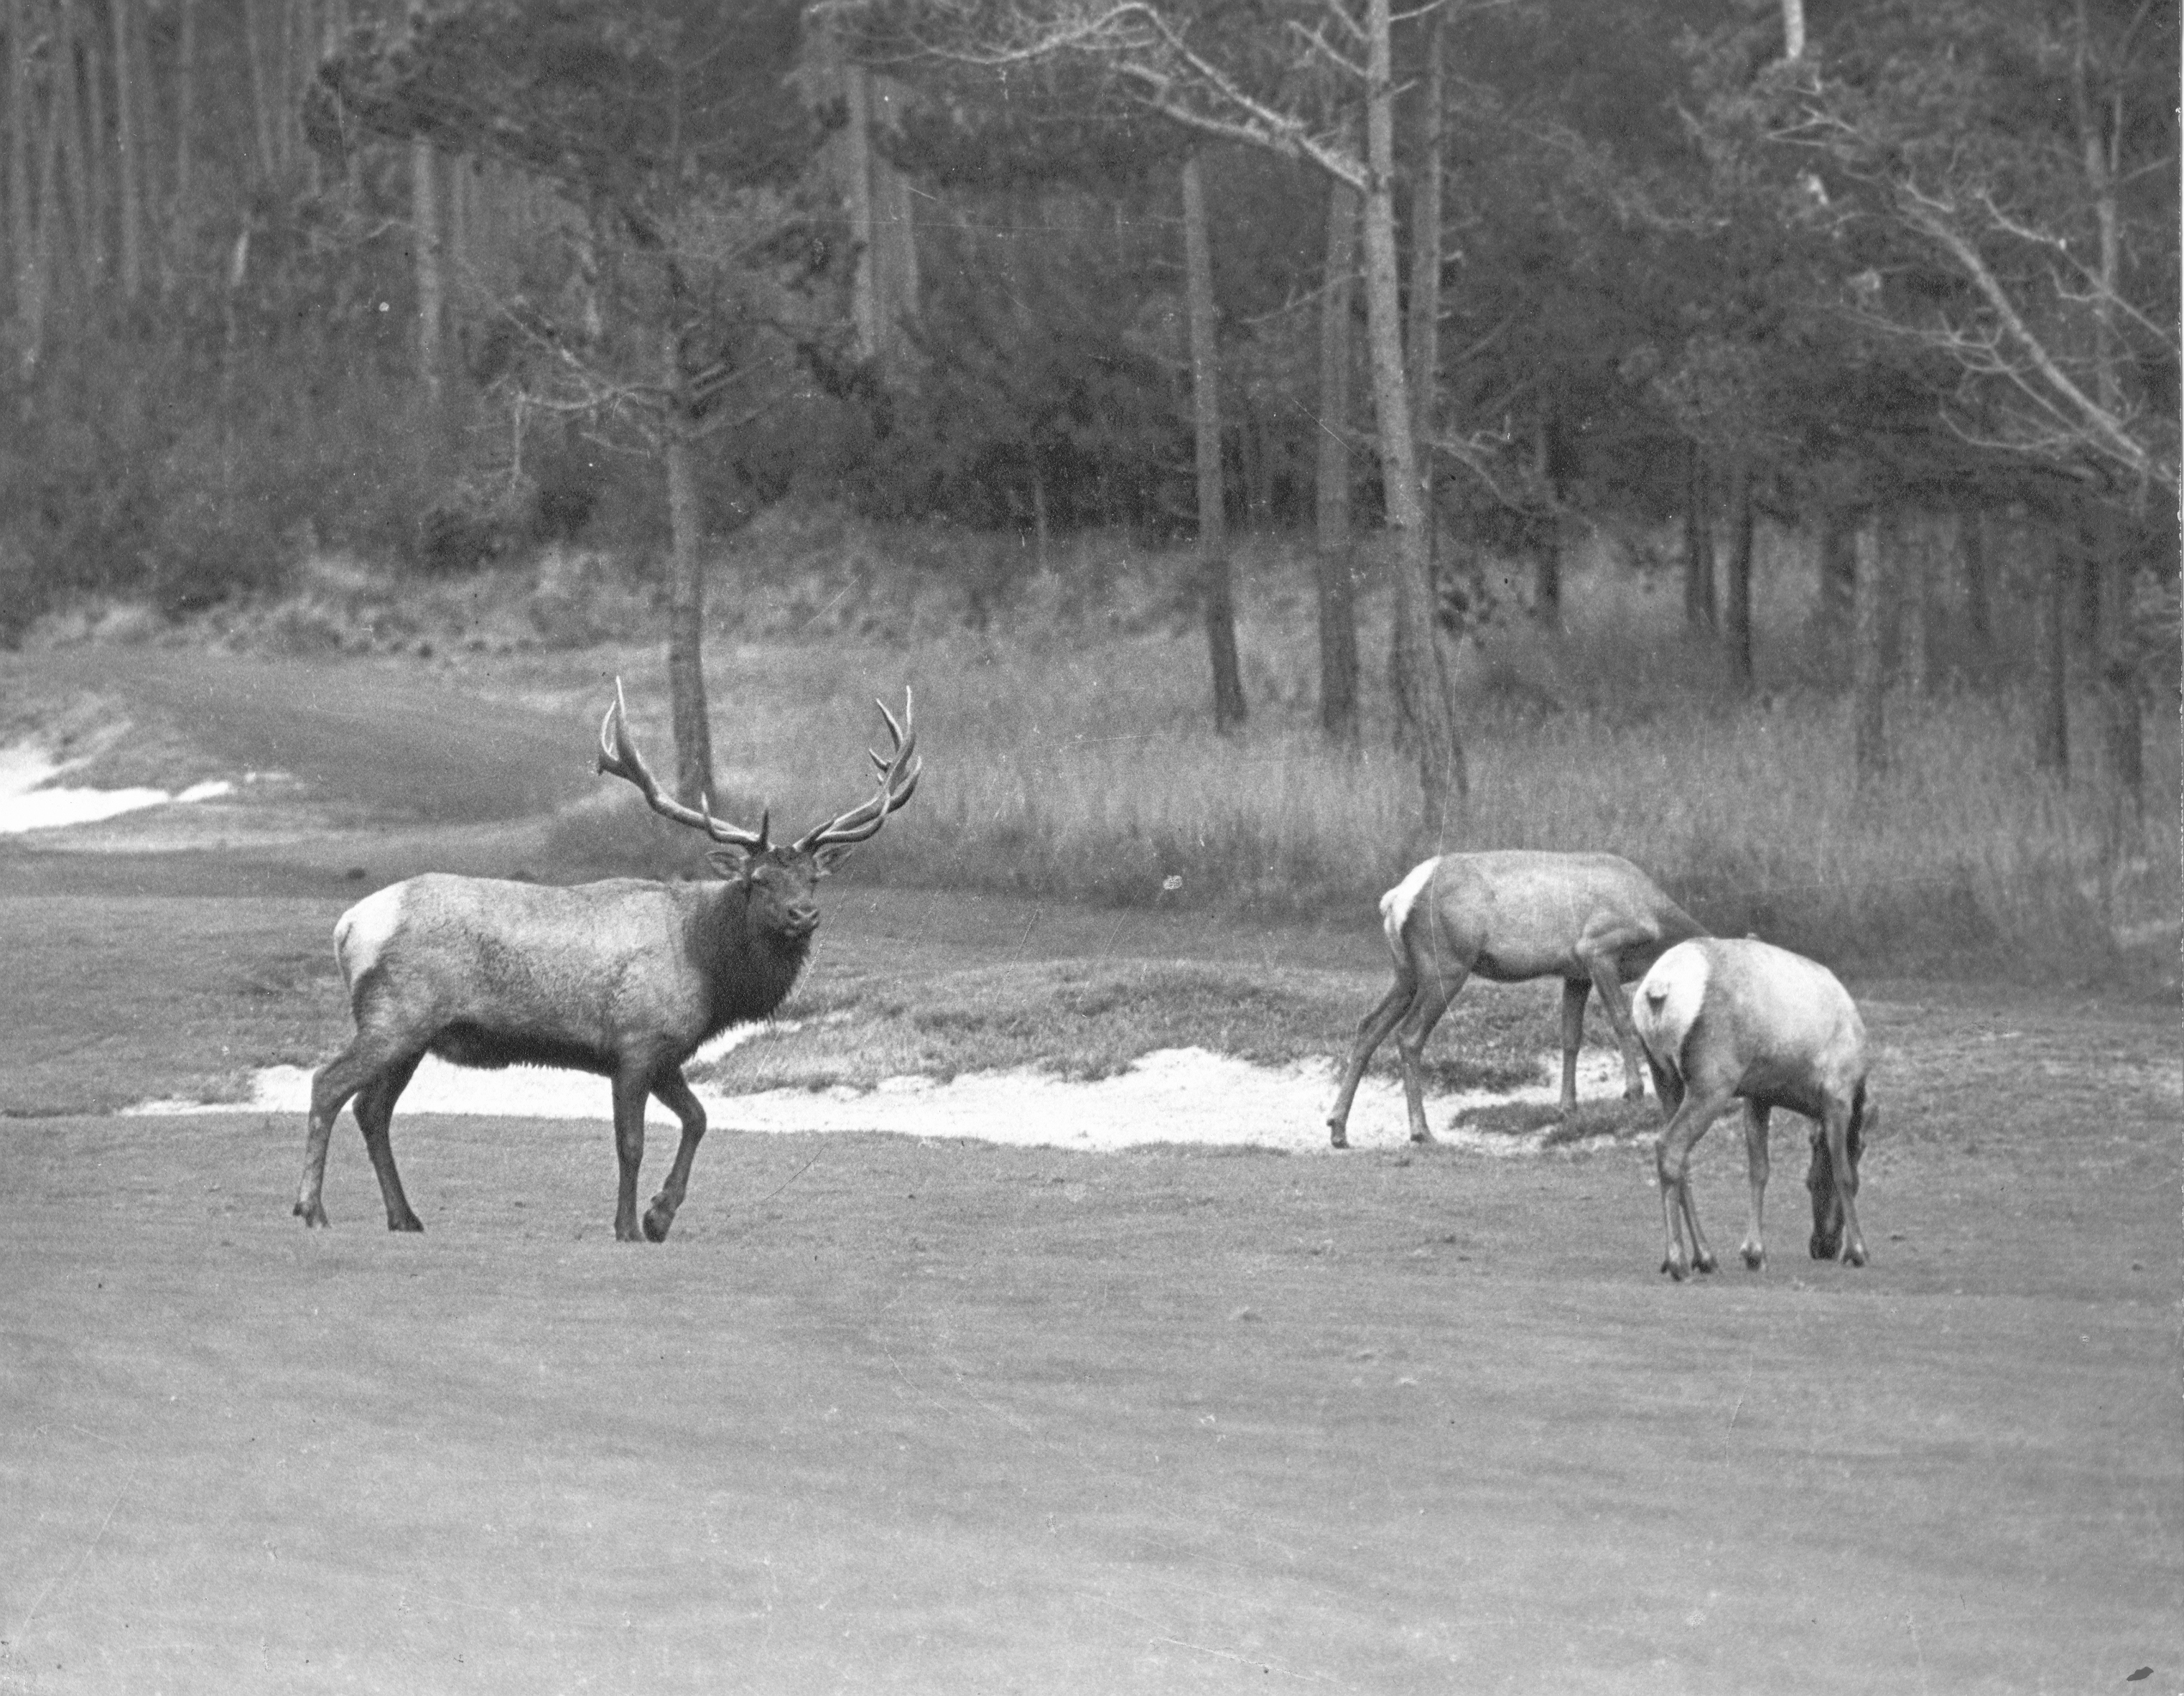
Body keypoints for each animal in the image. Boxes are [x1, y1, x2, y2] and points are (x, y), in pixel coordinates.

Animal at [292, 680, 919, 1243]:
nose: (803, 915)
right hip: (396, 1016)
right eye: (758, 879)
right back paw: (312, 1210)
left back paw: (404, 1218)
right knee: (329, 1085)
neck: (708, 969)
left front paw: (660, 1217)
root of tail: (348, 925)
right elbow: (631, 1143)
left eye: (813, 878)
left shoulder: (667, 1052)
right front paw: (628, 1227)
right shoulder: (635, 1043)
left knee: (372, 1109)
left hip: (414, 1033)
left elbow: (699, 1118)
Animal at [1326, 851, 1706, 1149]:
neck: (1656, 924)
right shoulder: (1597, 949)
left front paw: (1567, 1107)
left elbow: (1571, 1037)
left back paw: (1338, 1128)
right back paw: (1421, 1131)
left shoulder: (1576, 974)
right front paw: (1633, 1092)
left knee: (1368, 1025)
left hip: (1406, 972)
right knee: (1409, 1035)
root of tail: (1395, 899)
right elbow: (1622, 1021)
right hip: (1447, 965)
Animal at [1629, 936, 1874, 1281]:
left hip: (1664, 1077)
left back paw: (1704, 1256)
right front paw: (1857, 1251)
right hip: (1713, 1082)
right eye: (1812, 1182)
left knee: (1681, 1158)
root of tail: (1657, 990)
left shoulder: (1758, 1096)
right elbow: (1844, 1175)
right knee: (1669, 1145)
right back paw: (1678, 1261)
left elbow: (1759, 1171)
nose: (1822, 1246)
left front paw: (1754, 1252)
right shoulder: (1837, 1096)